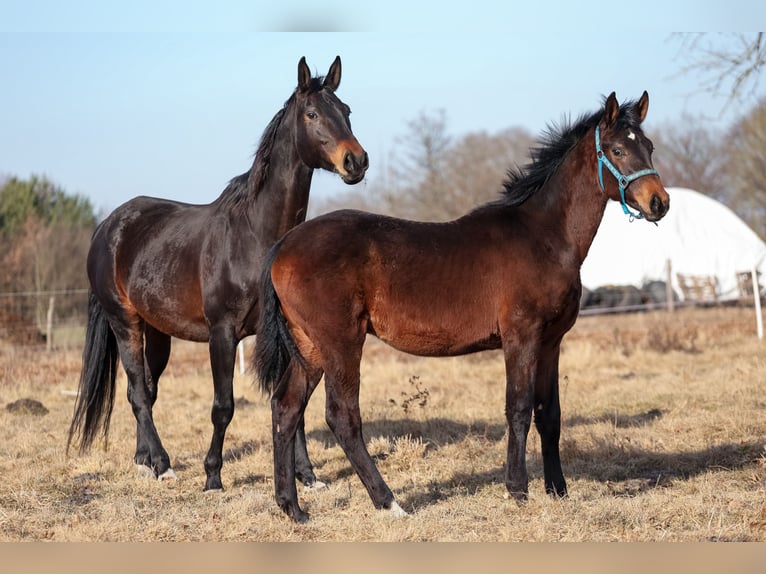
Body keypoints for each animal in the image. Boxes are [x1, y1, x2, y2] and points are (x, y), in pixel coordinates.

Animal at [67, 56, 368, 492]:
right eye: (312, 114)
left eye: (346, 111)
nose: (356, 161)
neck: (254, 237)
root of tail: (107, 226)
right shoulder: (222, 333)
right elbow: (223, 406)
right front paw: (213, 476)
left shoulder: (281, 333)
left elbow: (291, 404)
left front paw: (309, 476)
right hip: (125, 323)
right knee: (139, 392)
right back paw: (163, 464)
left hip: (157, 332)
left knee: (143, 391)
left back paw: (144, 461)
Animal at [254, 91, 670, 523]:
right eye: (618, 150)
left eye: (649, 147)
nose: (659, 202)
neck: (543, 237)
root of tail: (283, 245)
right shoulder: (521, 337)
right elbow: (518, 408)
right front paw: (517, 489)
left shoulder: (551, 342)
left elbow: (549, 414)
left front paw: (558, 490)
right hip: (340, 343)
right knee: (341, 416)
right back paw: (390, 502)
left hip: (309, 349)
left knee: (285, 408)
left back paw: (293, 508)